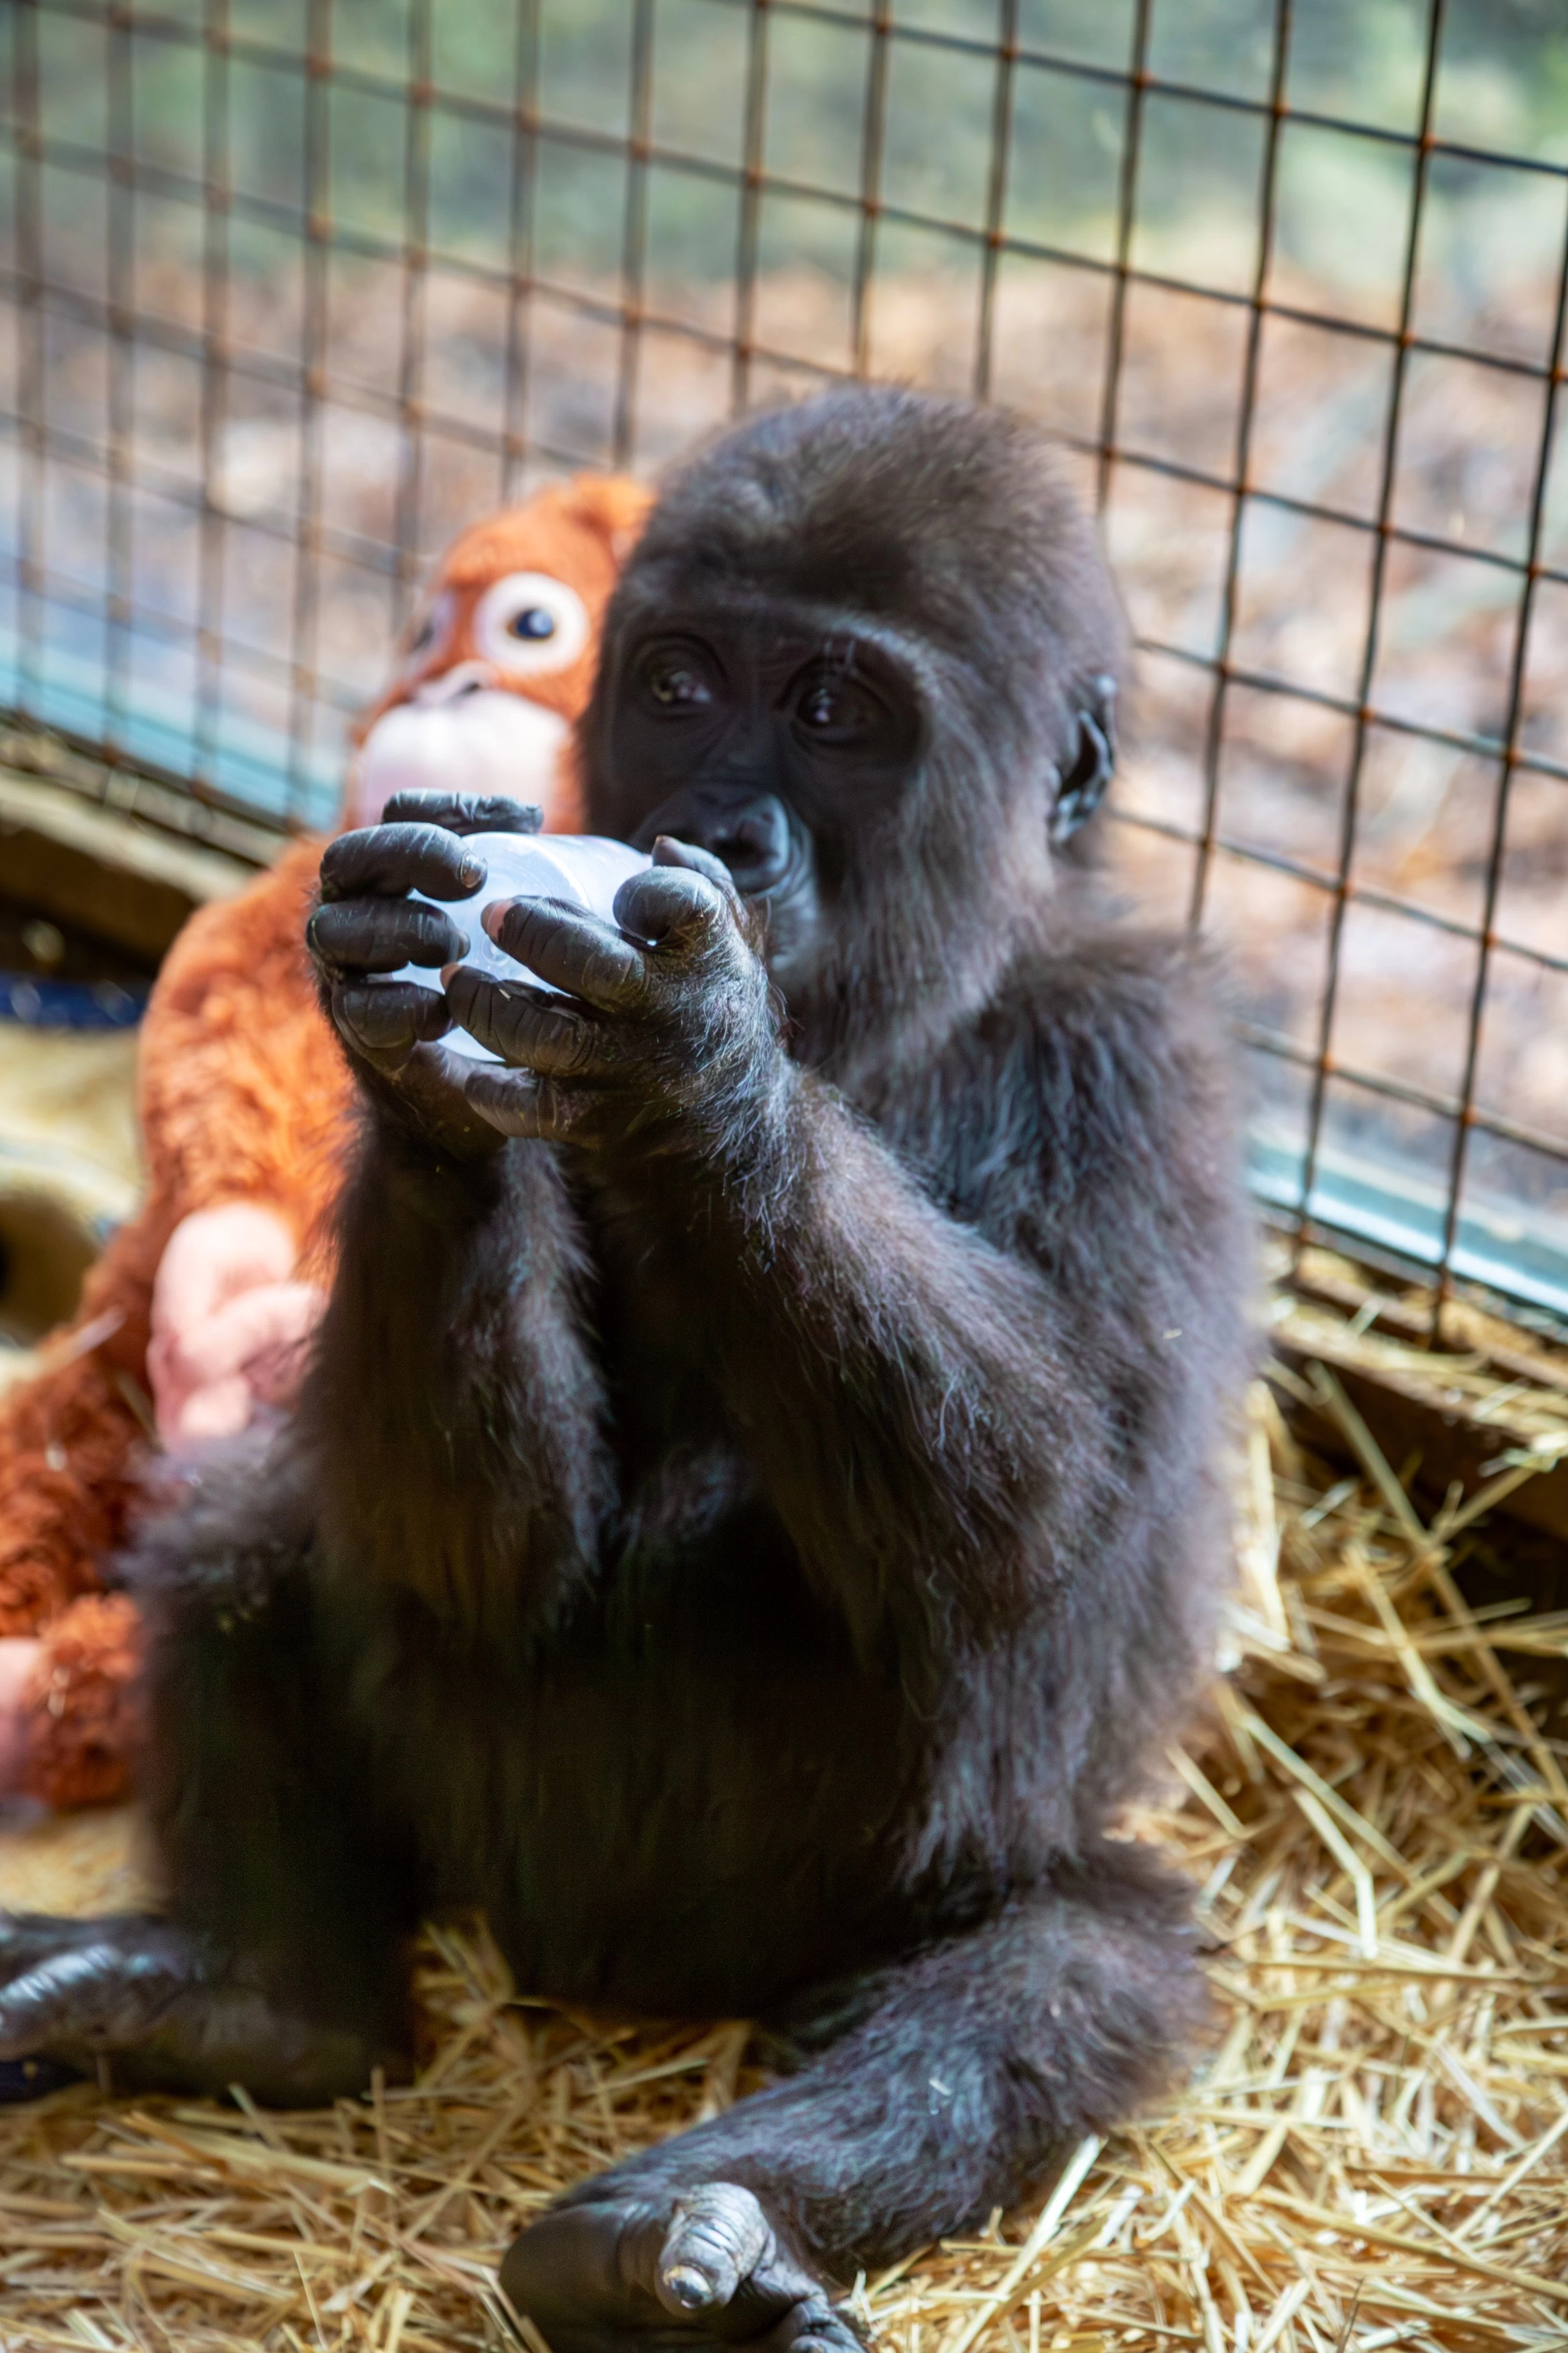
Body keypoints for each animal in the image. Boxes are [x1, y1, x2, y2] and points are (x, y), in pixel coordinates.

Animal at [0, 390, 1250, 2353]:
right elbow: (473, 1549)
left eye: (834, 712)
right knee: (250, 1538)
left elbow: (1039, 1532)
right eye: (675, 683)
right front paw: (412, 1061)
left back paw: (685, 2227)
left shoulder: (1139, 1061)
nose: (718, 827)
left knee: (1070, 1965)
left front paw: (702, 1069)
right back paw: (258, 1997)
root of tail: (597, 1980)